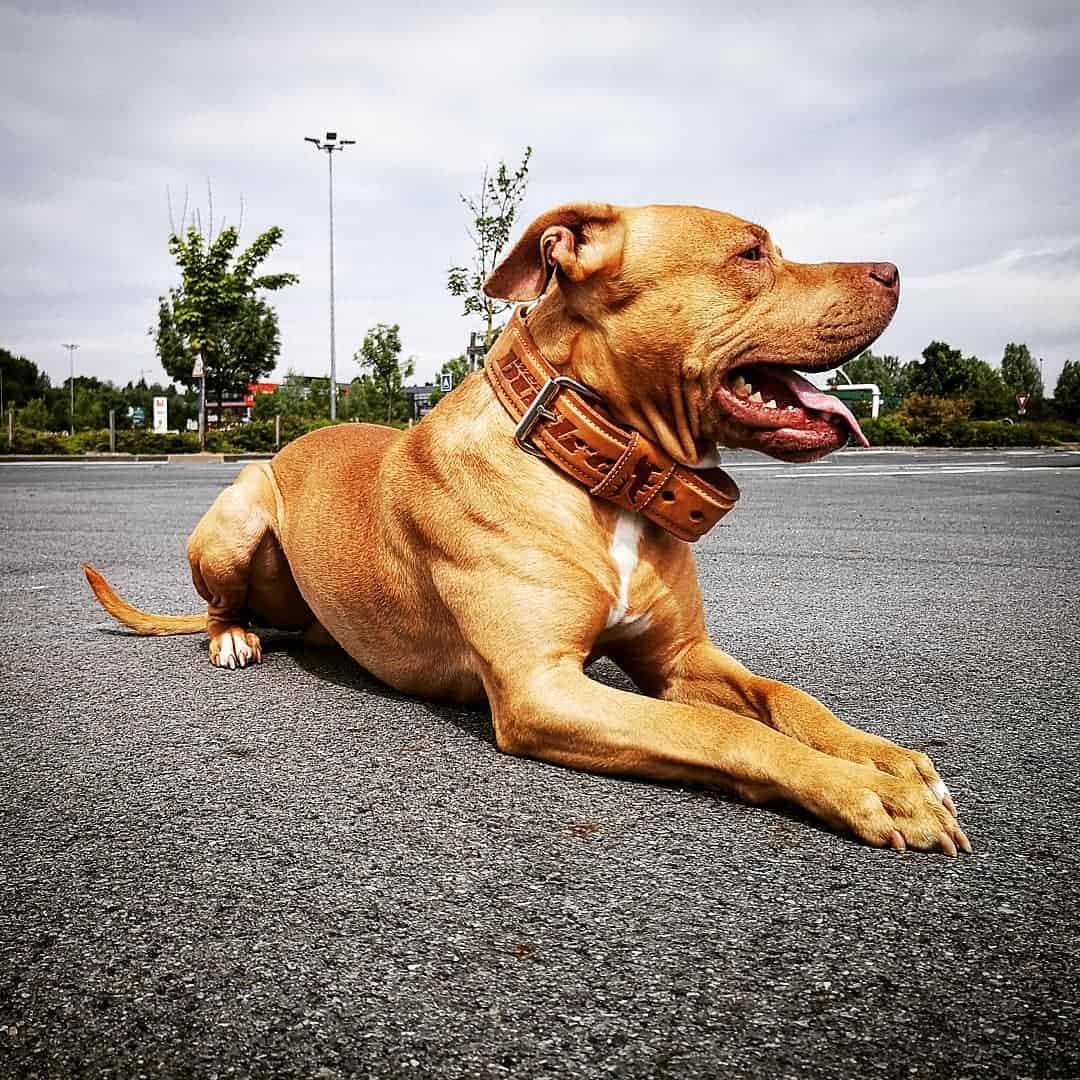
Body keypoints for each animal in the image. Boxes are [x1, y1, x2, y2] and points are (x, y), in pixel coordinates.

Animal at [86, 206, 972, 855]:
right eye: (752, 253)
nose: (893, 270)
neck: (597, 474)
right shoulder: (541, 688)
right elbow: (722, 728)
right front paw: (871, 792)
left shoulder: (680, 656)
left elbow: (784, 697)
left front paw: (882, 756)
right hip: (239, 507)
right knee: (219, 604)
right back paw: (234, 637)